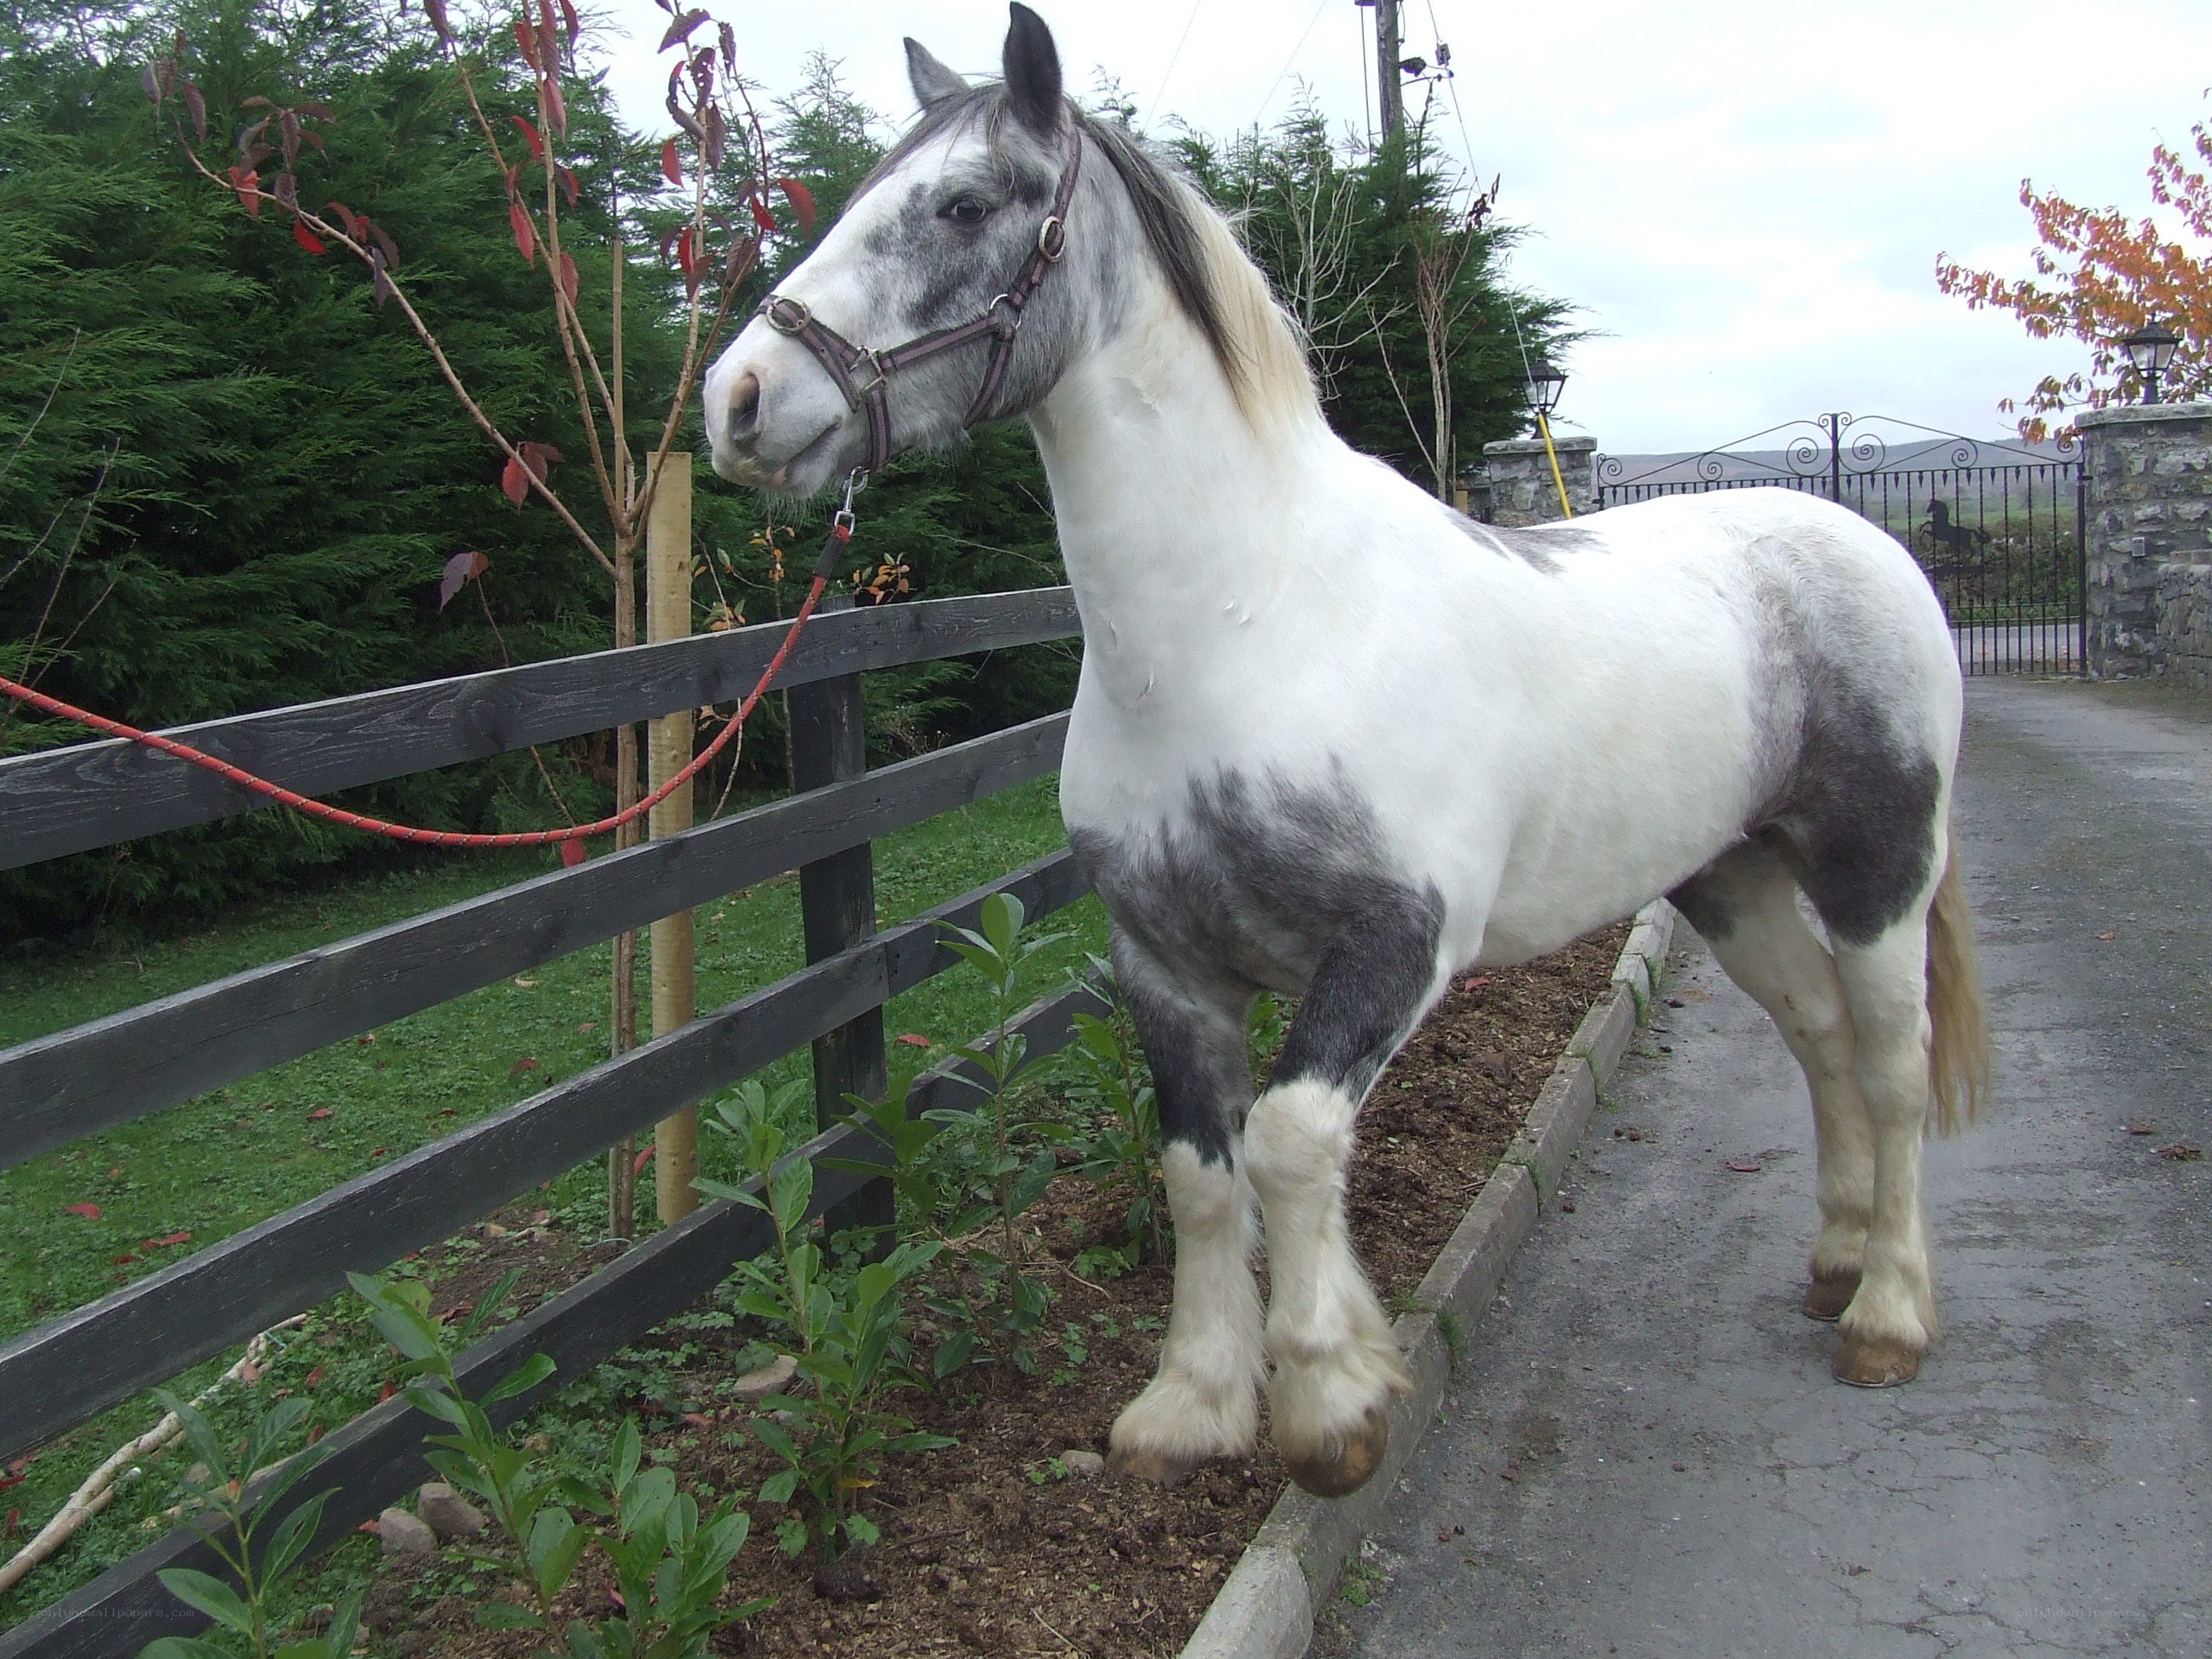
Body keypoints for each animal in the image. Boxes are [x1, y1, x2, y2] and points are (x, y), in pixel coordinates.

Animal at [703, 4, 1993, 1500]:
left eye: (964, 203)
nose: (741, 400)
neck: (1252, 619)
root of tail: (1859, 541)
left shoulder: (1393, 944)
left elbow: (1291, 1140)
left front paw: (1330, 1404)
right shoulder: (1166, 964)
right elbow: (1199, 1171)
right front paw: (1195, 1403)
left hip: (1877, 870)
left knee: (1892, 1063)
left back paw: (1888, 1315)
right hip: (1729, 874)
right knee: (1819, 1036)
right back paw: (1834, 1263)